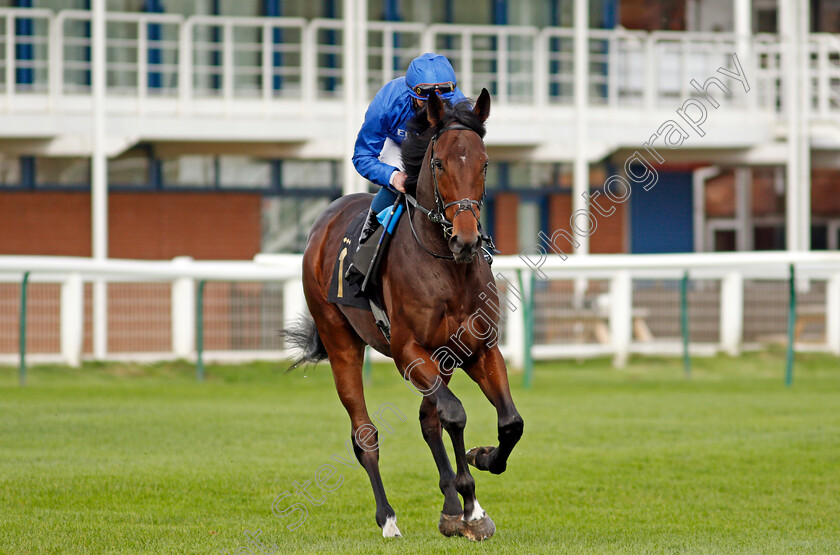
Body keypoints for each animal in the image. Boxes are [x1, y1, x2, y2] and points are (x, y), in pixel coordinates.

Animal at [288, 89, 524, 540]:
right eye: (438, 163)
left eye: (484, 162)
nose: (466, 240)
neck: (448, 268)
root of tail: (323, 221)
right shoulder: (408, 352)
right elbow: (455, 414)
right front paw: (470, 504)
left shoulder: (479, 349)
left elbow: (509, 422)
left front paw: (483, 462)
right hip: (340, 341)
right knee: (365, 434)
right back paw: (389, 519)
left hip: (441, 360)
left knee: (427, 419)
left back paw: (451, 508)